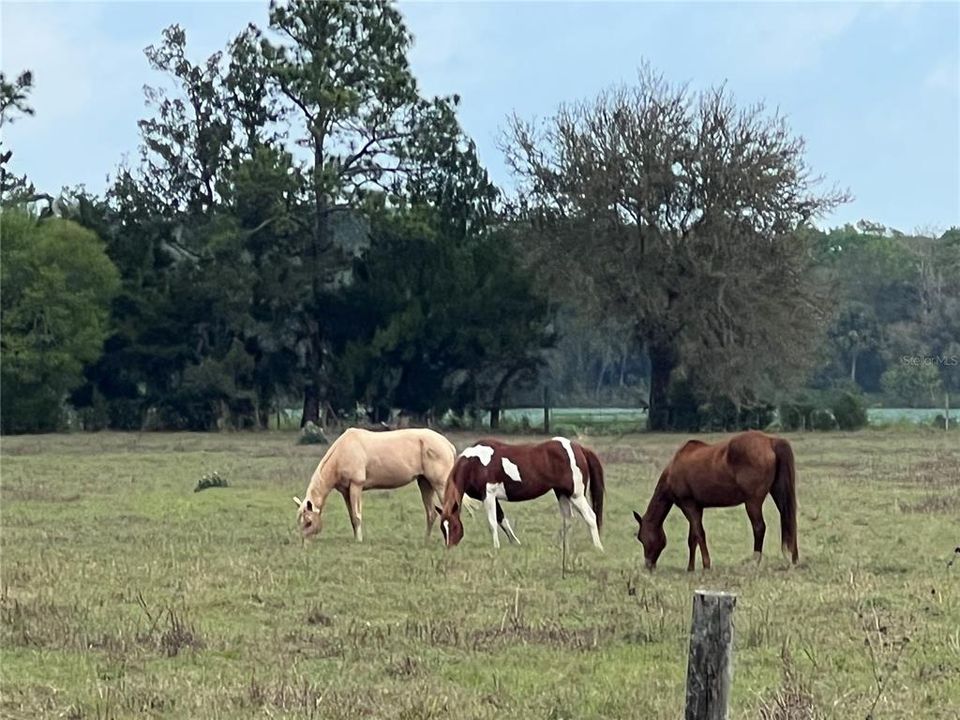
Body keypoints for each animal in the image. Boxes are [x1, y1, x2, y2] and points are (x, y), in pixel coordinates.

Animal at [296, 428, 496, 540]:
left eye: (308, 522)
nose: (302, 542)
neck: (343, 451)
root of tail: (447, 444)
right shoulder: (346, 492)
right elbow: (352, 518)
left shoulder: (356, 486)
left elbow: (357, 516)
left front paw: (359, 540)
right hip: (424, 483)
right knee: (431, 514)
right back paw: (426, 540)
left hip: (440, 485)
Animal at [438, 438, 604, 552]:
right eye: (442, 528)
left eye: (454, 526)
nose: (449, 547)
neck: (475, 464)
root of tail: (579, 448)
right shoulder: (491, 498)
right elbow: (502, 519)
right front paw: (515, 542)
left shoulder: (489, 495)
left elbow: (492, 522)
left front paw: (496, 547)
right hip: (562, 493)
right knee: (568, 519)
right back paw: (562, 546)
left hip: (576, 495)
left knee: (591, 517)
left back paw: (598, 547)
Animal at [632, 430, 800, 572]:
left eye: (641, 537)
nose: (648, 565)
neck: (672, 471)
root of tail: (770, 441)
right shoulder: (697, 508)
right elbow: (692, 538)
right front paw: (690, 568)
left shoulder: (688, 505)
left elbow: (699, 534)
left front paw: (706, 565)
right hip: (778, 494)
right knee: (790, 521)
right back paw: (794, 559)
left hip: (753, 502)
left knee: (759, 527)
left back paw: (754, 562)